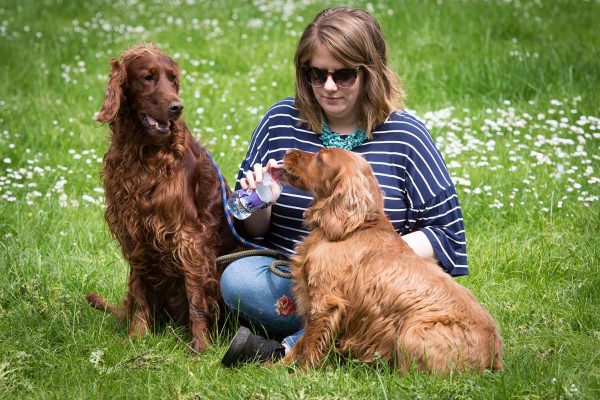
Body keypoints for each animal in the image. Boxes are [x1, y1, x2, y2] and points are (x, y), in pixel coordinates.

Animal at [86, 44, 237, 354]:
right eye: (148, 77)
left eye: (173, 79)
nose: (177, 108)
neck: (142, 153)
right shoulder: (135, 230)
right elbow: (140, 290)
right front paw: (138, 337)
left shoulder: (187, 235)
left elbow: (196, 295)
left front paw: (200, 347)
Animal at [278, 149, 504, 372]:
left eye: (320, 158)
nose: (287, 151)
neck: (353, 228)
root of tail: (492, 358)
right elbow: (300, 344)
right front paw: (277, 367)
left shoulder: (324, 301)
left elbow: (309, 344)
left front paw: (300, 373)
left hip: (411, 332)